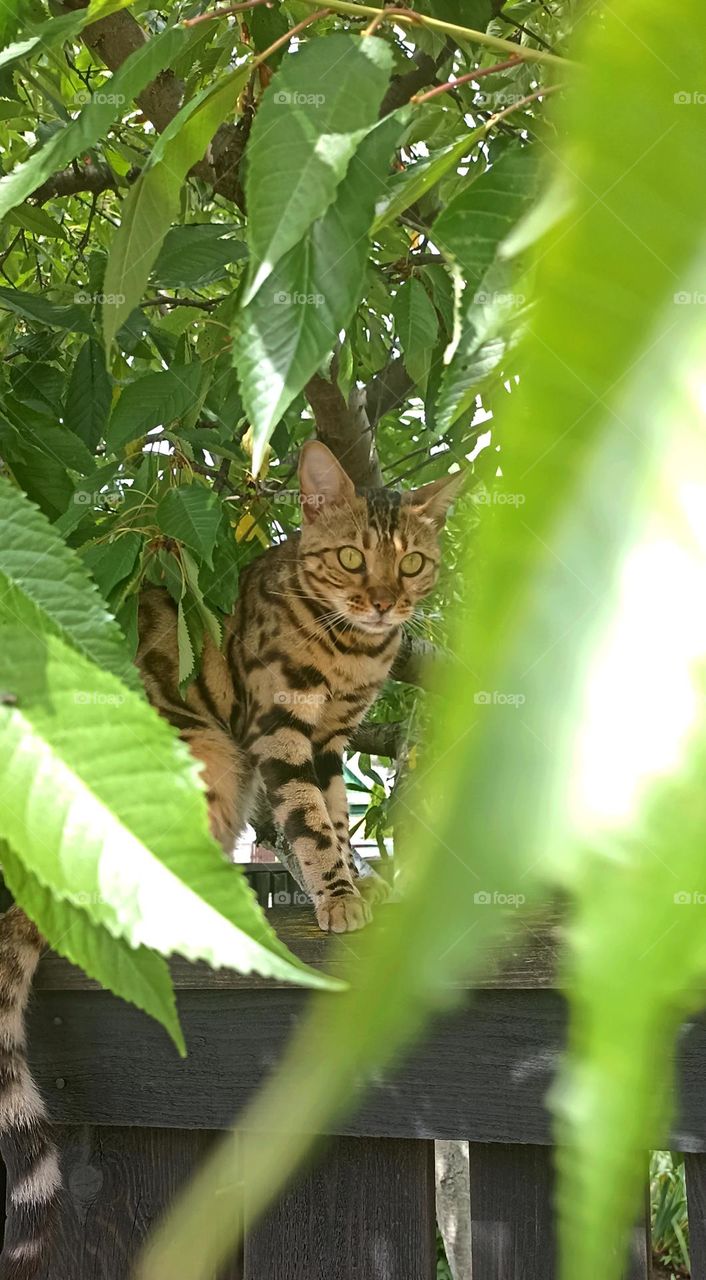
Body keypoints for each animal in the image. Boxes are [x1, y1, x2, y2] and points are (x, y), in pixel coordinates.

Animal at [0, 440, 460, 1269]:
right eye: (351, 557)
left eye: (411, 563)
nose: (384, 604)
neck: (353, 651)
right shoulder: (281, 728)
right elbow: (310, 825)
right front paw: (338, 898)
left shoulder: (331, 741)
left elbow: (334, 817)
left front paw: (352, 887)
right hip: (205, 757)